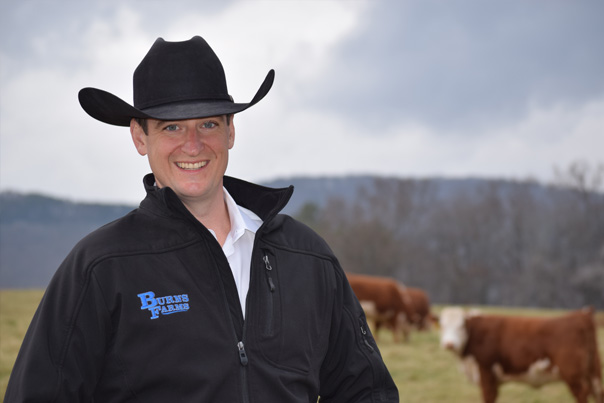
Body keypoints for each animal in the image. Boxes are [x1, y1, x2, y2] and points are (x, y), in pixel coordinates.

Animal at [438, 308, 604, 402]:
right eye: (442, 326)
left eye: (461, 326)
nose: (449, 344)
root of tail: (581, 315)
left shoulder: (486, 372)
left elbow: (488, 397)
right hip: (593, 373)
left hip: (573, 375)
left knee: (582, 394)